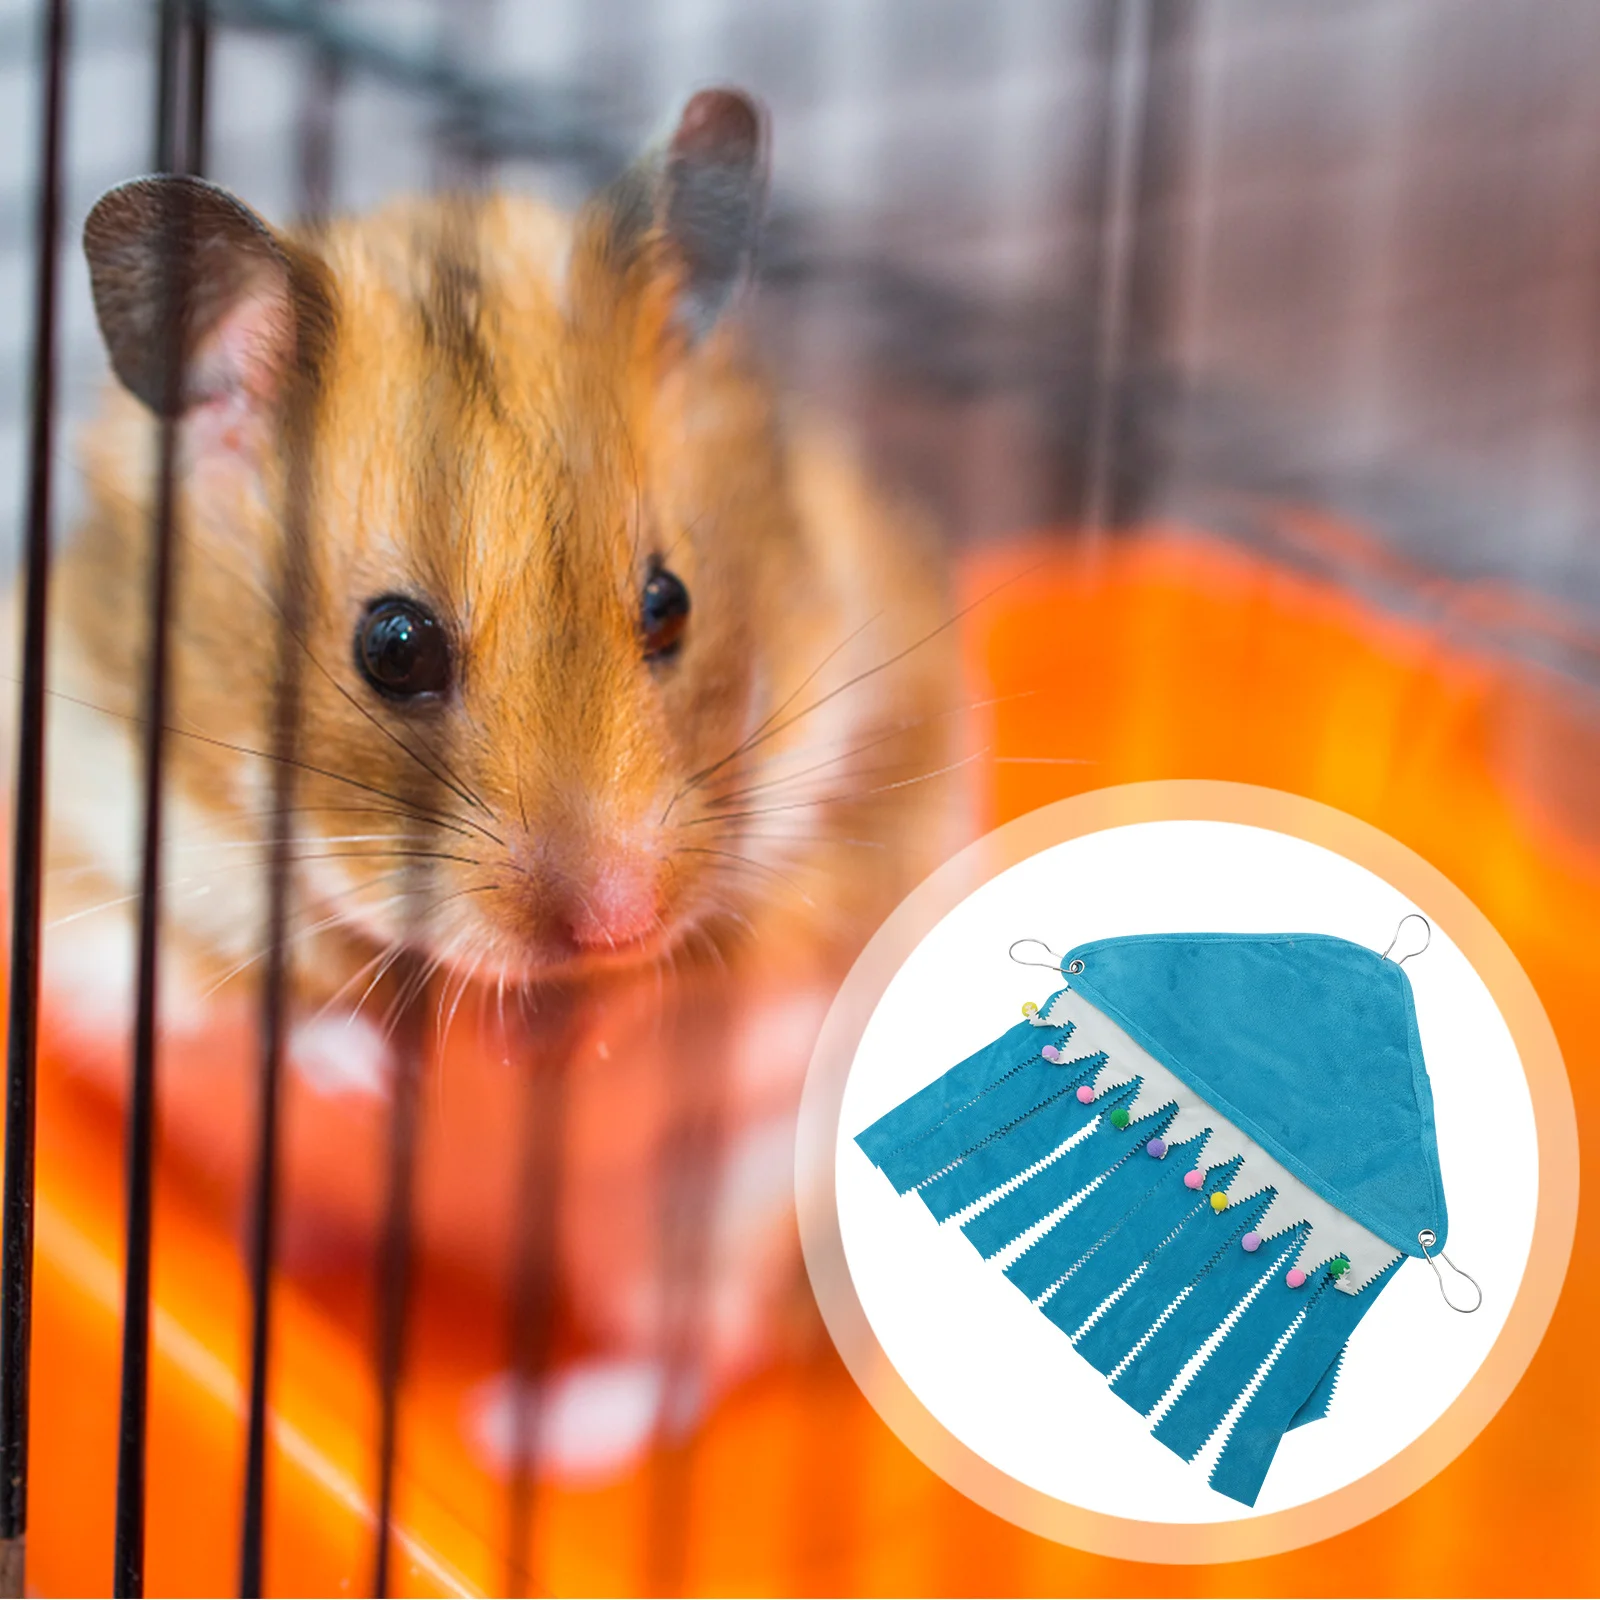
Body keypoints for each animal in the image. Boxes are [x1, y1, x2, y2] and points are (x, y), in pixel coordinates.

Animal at [27, 90, 966, 1440]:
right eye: (394, 645)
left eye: (671, 602)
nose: (621, 920)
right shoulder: (102, 847)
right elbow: (257, 999)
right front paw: (397, 1074)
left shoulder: (833, 832)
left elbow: (706, 978)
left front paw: (545, 1046)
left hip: (707, 1228)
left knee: (695, 1361)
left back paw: (526, 1425)